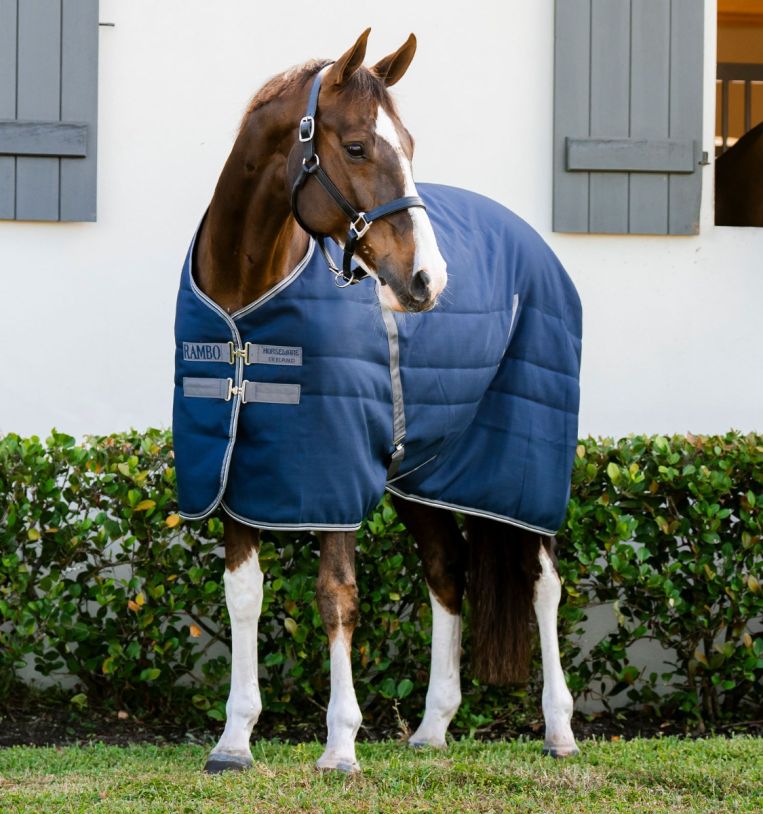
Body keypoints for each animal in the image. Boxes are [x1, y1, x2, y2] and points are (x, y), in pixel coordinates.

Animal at [172, 29, 582, 774]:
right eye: (359, 147)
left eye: (410, 144)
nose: (427, 279)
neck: (246, 311)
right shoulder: (233, 472)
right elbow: (244, 596)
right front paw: (233, 741)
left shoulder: (332, 473)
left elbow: (336, 595)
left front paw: (340, 745)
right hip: (421, 476)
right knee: (447, 572)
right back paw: (432, 727)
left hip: (524, 473)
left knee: (542, 582)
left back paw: (559, 730)